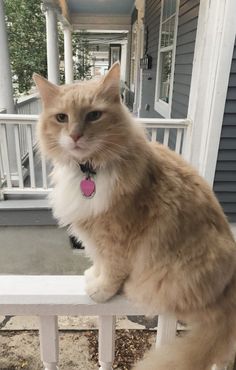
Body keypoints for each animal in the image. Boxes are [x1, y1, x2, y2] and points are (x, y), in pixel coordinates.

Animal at [33, 63, 236, 370]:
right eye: (61, 118)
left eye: (93, 115)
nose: (75, 136)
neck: (89, 170)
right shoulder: (95, 236)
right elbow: (100, 261)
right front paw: (93, 276)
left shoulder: (116, 234)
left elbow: (112, 268)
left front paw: (101, 290)